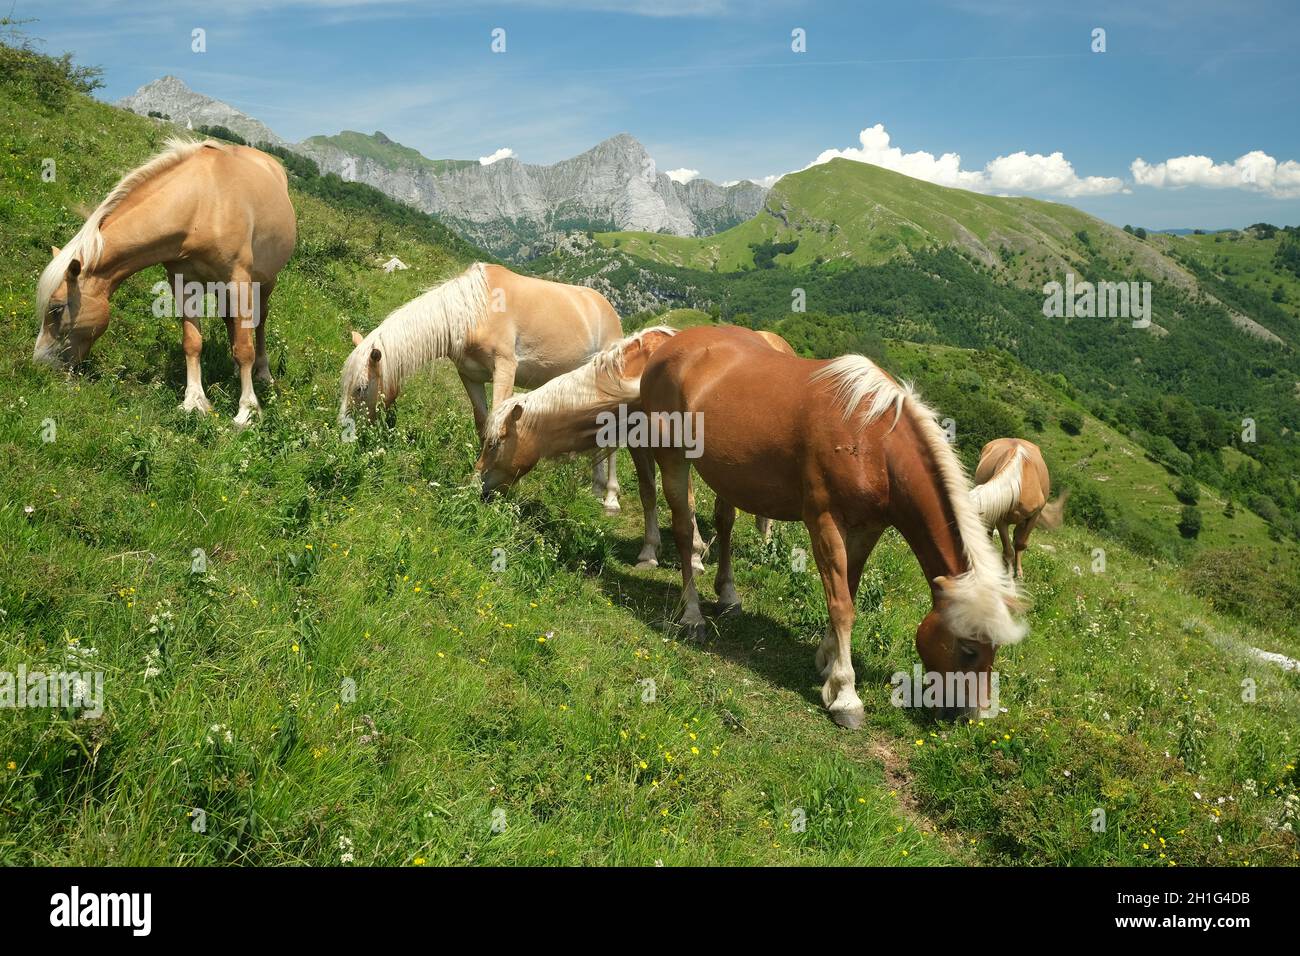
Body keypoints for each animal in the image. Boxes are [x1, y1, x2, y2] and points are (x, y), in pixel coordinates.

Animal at [34, 137, 297, 427]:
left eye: (56, 309)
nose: (39, 364)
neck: (203, 204)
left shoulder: (239, 280)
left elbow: (245, 346)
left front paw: (247, 410)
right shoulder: (183, 283)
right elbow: (192, 342)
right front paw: (194, 401)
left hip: (264, 282)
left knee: (259, 323)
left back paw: (262, 372)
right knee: (231, 321)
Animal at [339, 263, 624, 510]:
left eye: (360, 389)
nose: (344, 436)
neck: (474, 311)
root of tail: (608, 309)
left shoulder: (505, 368)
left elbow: (499, 421)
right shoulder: (470, 376)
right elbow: (483, 423)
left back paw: (610, 498)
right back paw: (596, 488)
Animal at [638, 326, 1026, 728]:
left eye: (994, 649)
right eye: (968, 649)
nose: (972, 715)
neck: (875, 440)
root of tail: (671, 343)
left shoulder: (867, 529)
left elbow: (848, 590)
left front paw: (826, 662)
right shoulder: (824, 522)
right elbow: (841, 604)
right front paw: (845, 694)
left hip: (725, 474)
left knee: (724, 524)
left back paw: (728, 597)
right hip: (672, 458)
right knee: (684, 530)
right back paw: (692, 615)